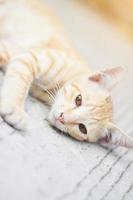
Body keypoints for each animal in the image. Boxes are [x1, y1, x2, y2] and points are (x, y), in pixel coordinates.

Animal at [0, 0, 132, 147]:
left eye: (82, 128)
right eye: (78, 99)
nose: (62, 117)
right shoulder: (29, 56)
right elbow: (21, 81)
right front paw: (14, 107)